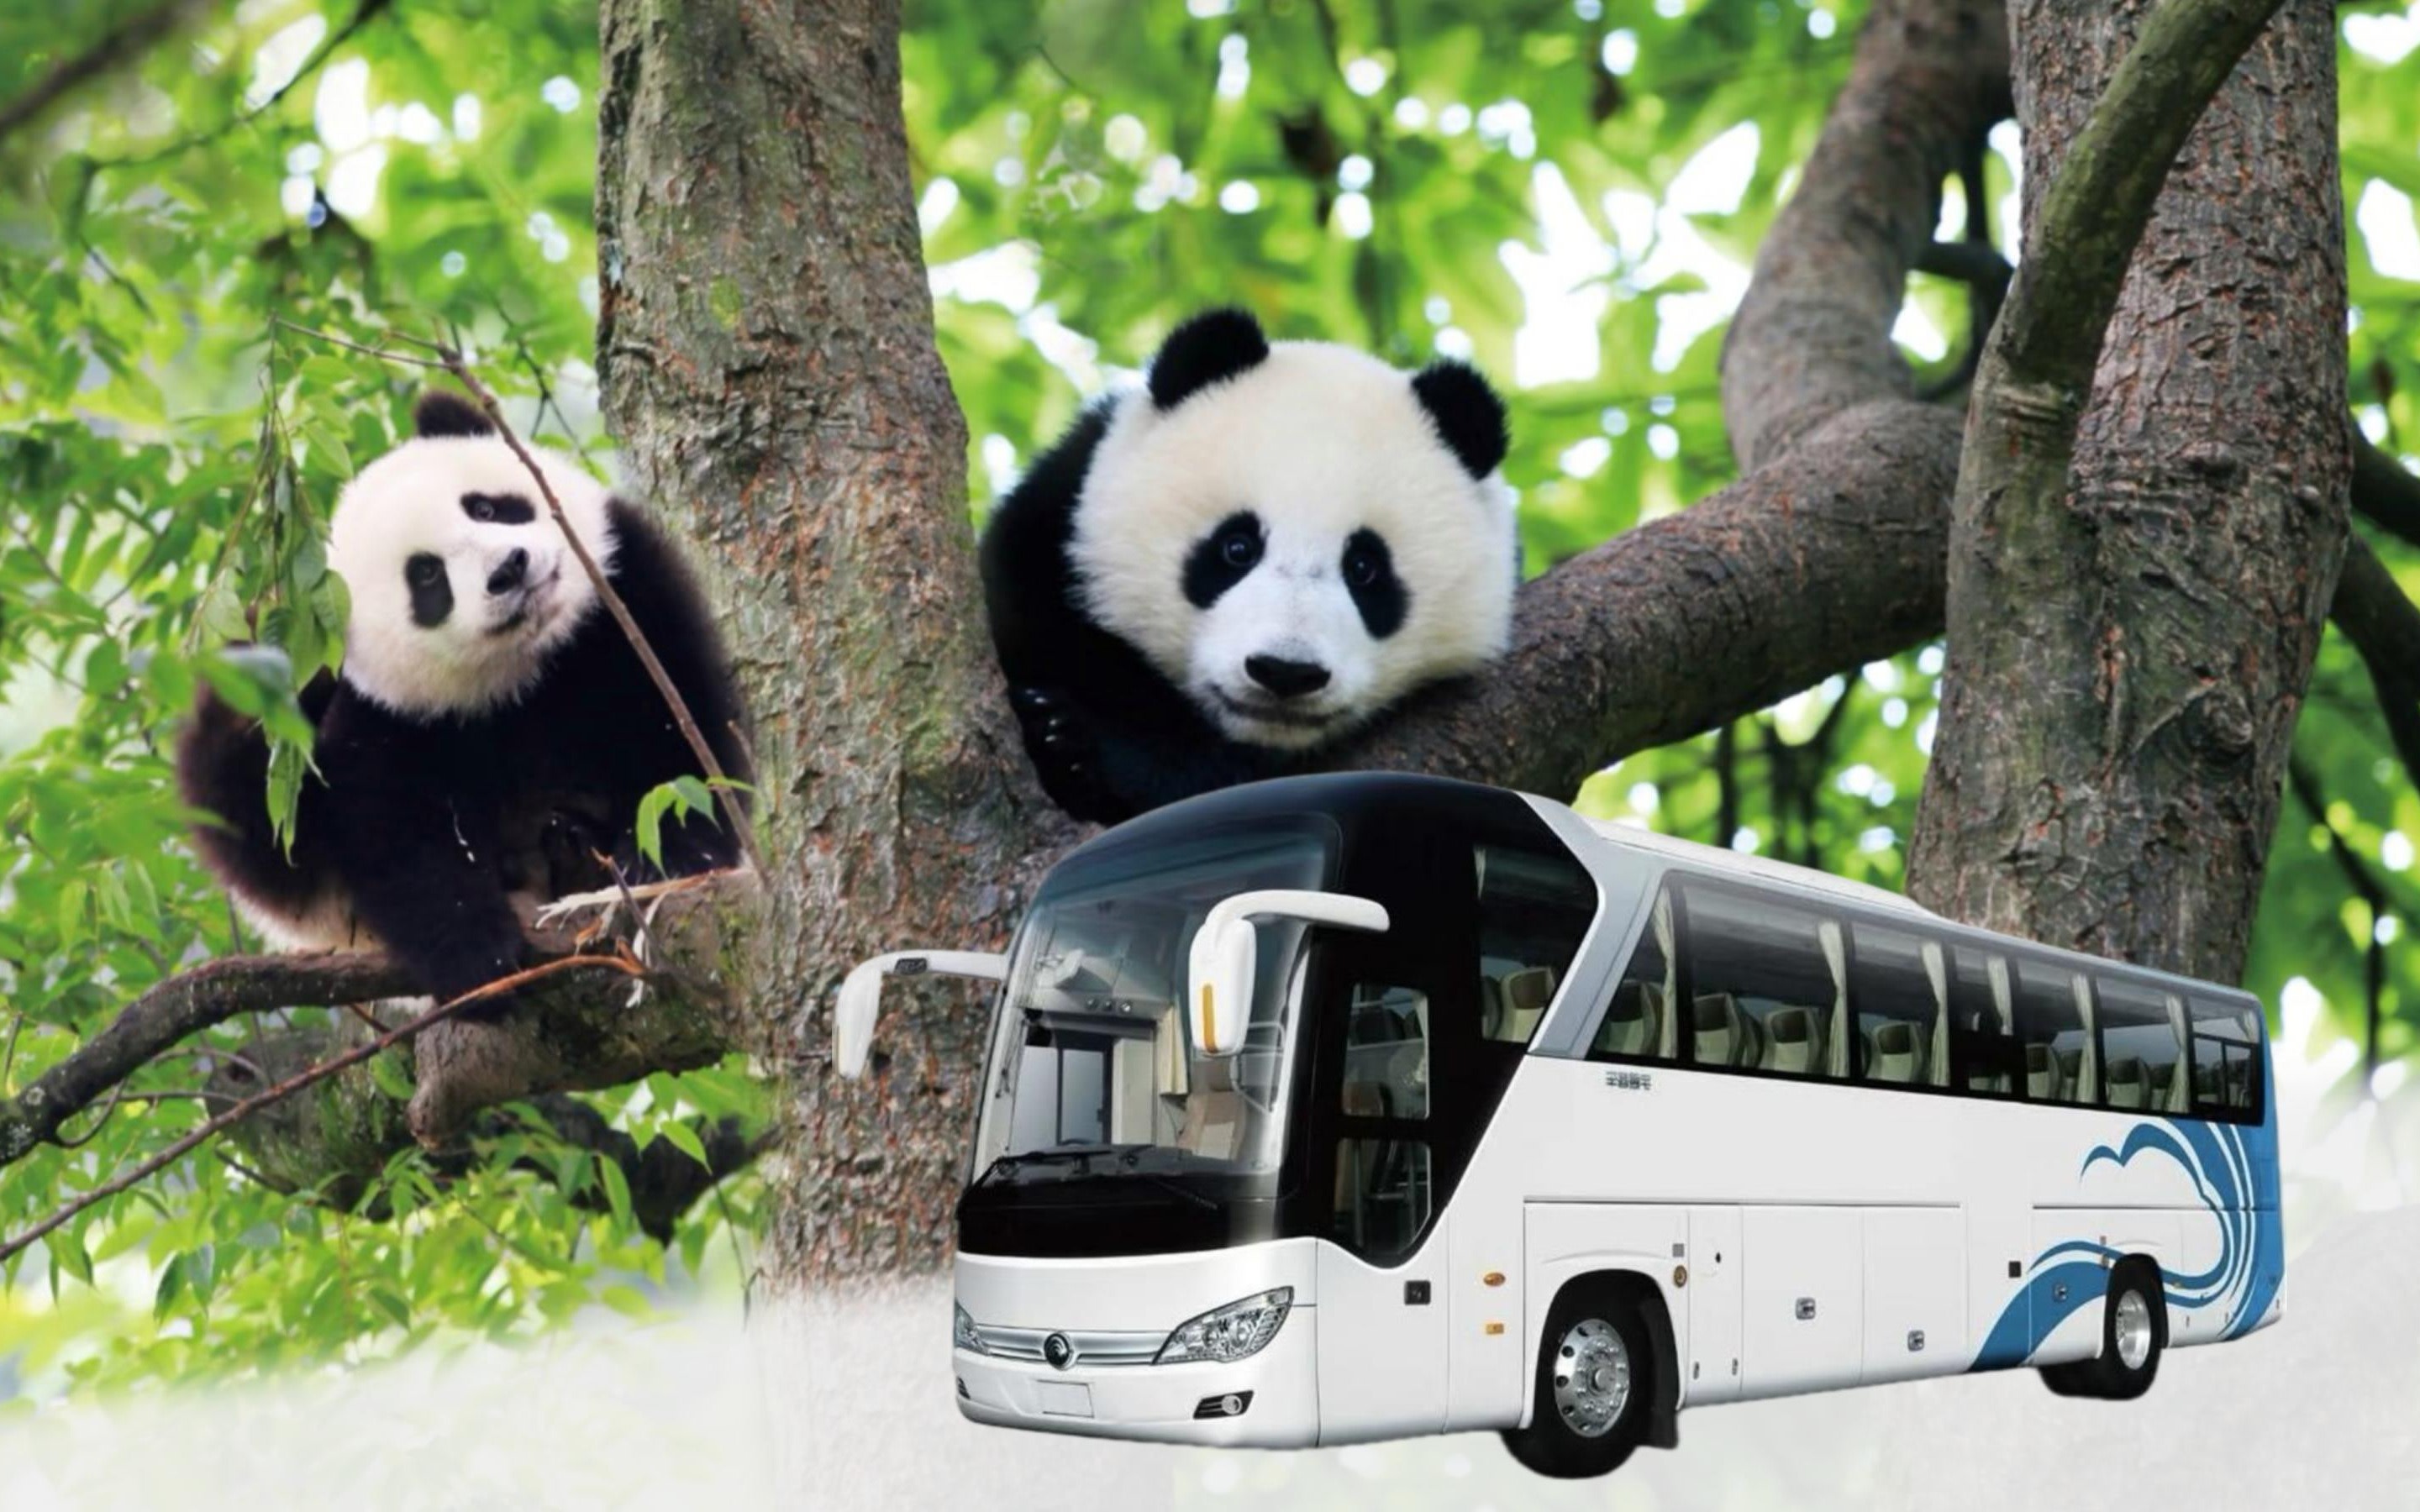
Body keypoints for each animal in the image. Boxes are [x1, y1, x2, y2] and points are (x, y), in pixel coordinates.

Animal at [176, 391, 751, 1017]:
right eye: (427, 575)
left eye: (485, 507)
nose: (509, 569)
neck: (527, 668)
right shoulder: (389, 715)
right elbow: (396, 834)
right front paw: (479, 960)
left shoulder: (624, 598)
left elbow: (679, 725)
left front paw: (671, 854)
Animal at [980, 307, 1518, 824]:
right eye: (1237, 548)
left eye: (1364, 568)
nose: (1285, 672)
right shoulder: (1053, 528)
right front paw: (1062, 734)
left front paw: (1091, 747)